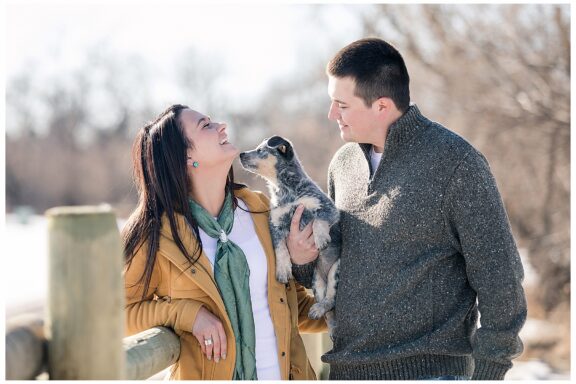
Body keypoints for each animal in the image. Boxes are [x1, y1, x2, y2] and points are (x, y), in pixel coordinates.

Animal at [240, 136, 340, 330]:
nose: (240, 154)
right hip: (317, 281)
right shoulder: (275, 223)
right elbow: (280, 249)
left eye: (261, 150)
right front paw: (283, 269)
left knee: (332, 298)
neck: (285, 192)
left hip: (336, 270)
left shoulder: (327, 207)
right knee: (327, 303)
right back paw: (318, 310)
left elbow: (319, 220)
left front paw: (321, 238)